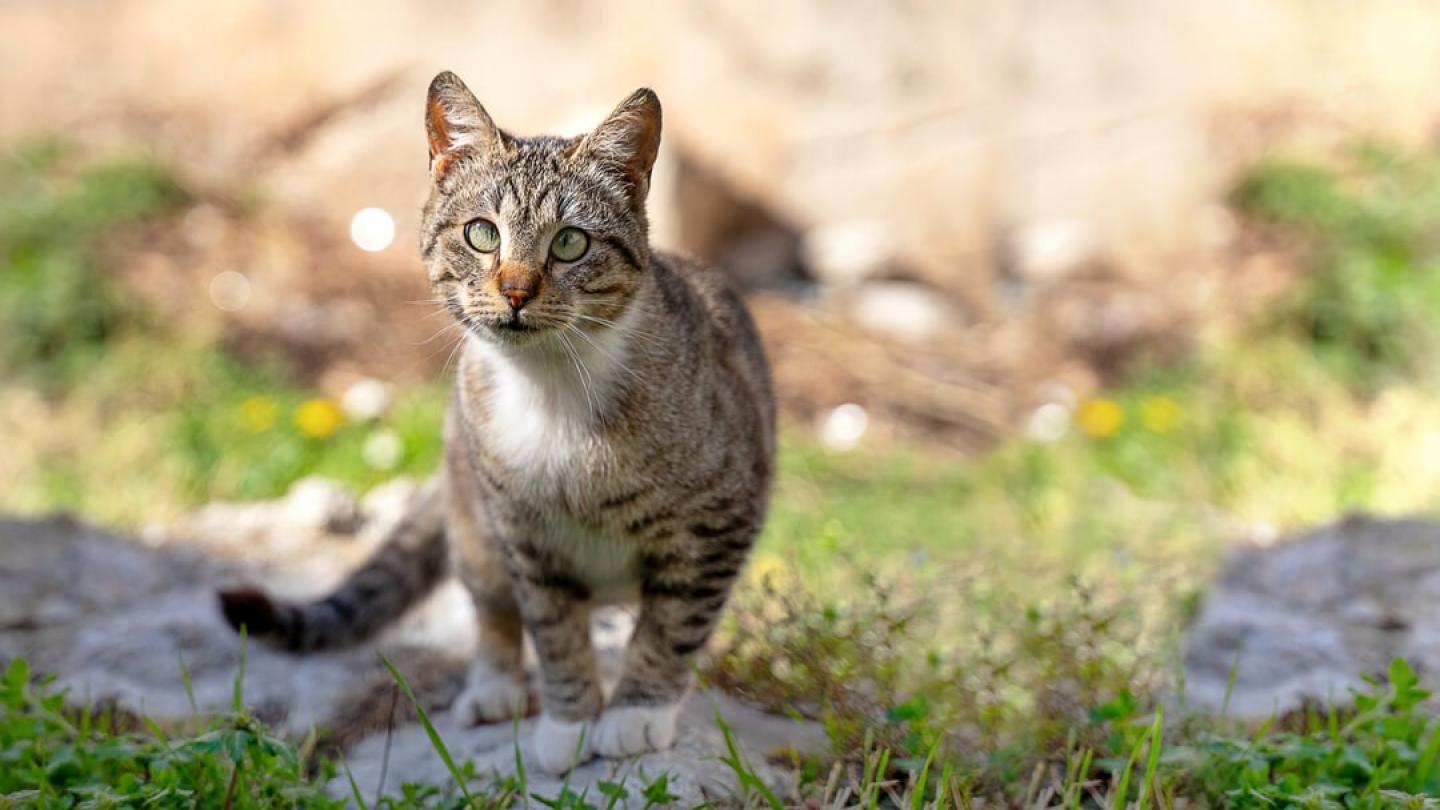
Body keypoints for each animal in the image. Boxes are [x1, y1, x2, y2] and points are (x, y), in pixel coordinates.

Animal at [218, 70, 777, 766]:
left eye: (570, 242)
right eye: (482, 233)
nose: (515, 291)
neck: (552, 391)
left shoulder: (719, 522)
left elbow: (673, 625)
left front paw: (636, 712)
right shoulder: (524, 537)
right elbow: (554, 631)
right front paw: (570, 722)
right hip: (474, 519)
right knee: (491, 607)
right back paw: (494, 688)